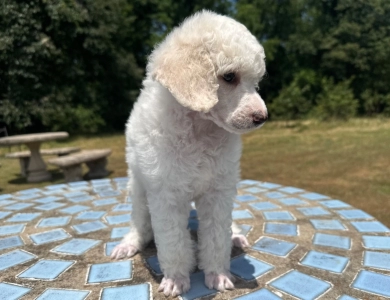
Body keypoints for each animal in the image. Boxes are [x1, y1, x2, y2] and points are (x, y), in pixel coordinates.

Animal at [111, 9, 266, 298]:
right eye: (230, 77)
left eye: (256, 82)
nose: (261, 117)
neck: (199, 128)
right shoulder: (166, 194)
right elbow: (172, 241)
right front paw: (176, 279)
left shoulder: (218, 191)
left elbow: (216, 236)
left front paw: (217, 274)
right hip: (137, 184)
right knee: (141, 221)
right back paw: (130, 242)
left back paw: (236, 236)